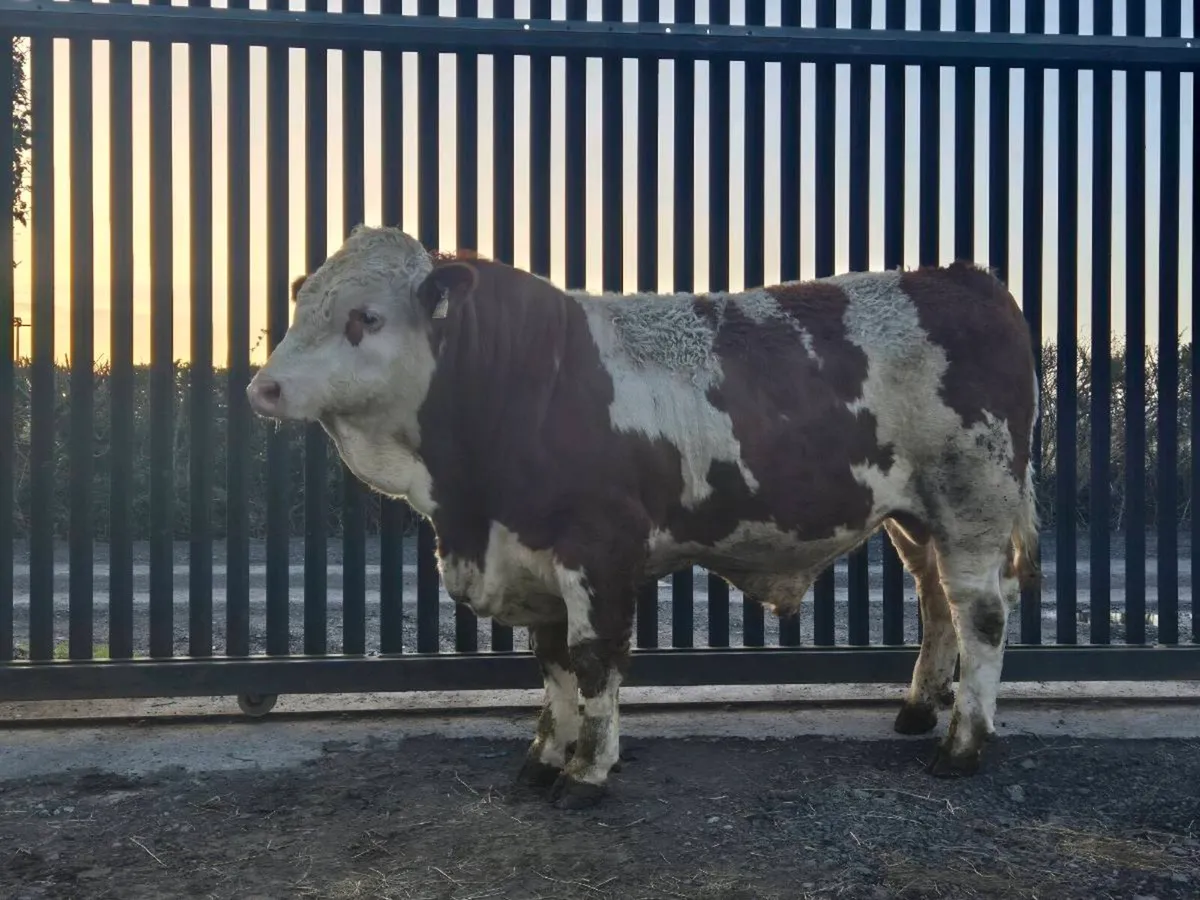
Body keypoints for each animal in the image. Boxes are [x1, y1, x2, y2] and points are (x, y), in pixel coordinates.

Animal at [246, 224, 1039, 810]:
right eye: (301, 304)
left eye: (365, 317)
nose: (265, 387)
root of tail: (959, 276)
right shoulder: (530, 553)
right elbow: (553, 664)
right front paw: (544, 757)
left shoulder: (597, 548)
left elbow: (595, 660)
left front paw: (587, 772)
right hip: (915, 514)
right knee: (935, 600)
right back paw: (917, 709)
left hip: (972, 497)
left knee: (981, 613)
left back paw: (963, 744)